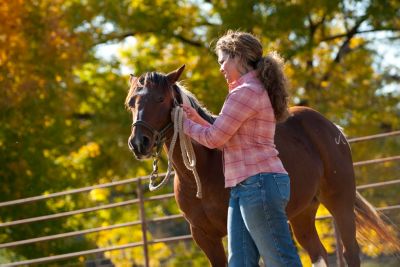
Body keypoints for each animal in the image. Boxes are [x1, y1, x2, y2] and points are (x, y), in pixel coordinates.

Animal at [126, 66, 398, 266]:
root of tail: (330, 126)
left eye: (161, 98)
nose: (139, 143)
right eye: (131, 103)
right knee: (318, 253)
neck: (199, 174)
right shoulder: (204, 236)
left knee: (350, 251)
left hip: (340, 200)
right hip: (302, 213)